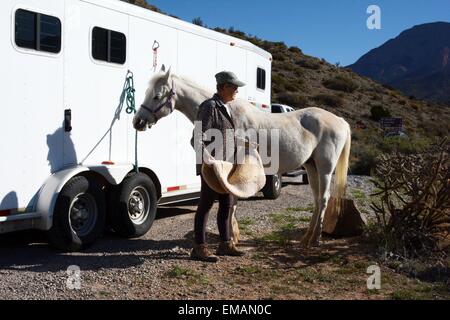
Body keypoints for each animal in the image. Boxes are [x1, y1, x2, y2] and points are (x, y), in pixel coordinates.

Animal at [134, 67, 352, 248]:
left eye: (157, 95)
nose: (138, 121)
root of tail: (339, 120)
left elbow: (232, 203)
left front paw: (231, 238)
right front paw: (233, 237)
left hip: (325, 168)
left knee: (323, 199)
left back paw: (315, 239)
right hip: (311, 166)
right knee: (316, 199)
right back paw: (306, 238)